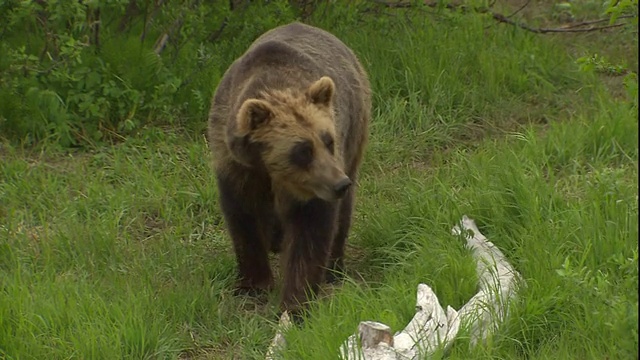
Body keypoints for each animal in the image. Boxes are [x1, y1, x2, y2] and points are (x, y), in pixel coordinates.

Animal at [208, 21, 372, 316]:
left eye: (328, 140)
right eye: (303, 150)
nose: (339, 183)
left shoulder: (312, 186)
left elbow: (310, 229)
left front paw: (296, 302)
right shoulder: (236, 165)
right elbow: (243, 216)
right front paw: (253, 283)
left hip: (357, 128)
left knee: (343, 213)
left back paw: (334, 267)